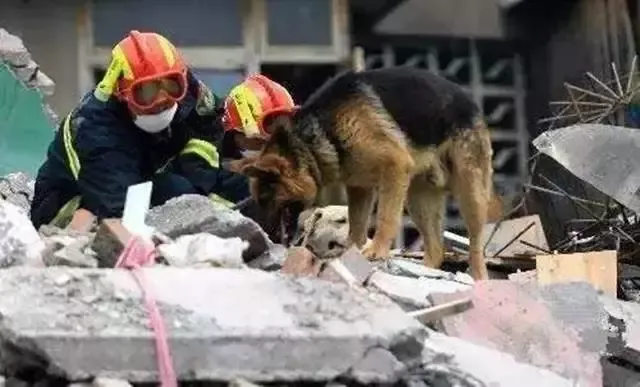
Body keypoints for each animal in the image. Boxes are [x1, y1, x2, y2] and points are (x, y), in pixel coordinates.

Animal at [228, 66, 502, 278]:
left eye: (266, 198)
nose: (265, 236)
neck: (320, 134)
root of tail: (471, 102)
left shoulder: (394, 168)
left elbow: (385, 218)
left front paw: (376, 251)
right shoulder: (360, 188)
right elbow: (357, 225)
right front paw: (352, 253)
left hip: (470, 193)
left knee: (476, 246)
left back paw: (479, 280)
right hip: (418, 201)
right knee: (435, 249)